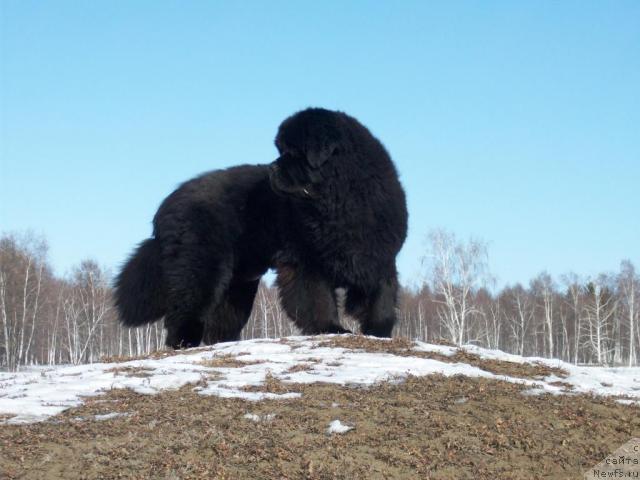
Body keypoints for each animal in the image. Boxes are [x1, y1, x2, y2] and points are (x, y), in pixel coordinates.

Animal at [115, 108, 408, 348]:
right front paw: (332, 329)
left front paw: (380, 332)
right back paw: (185, 341)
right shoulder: (307, 263)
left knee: (222, 317)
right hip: (201, 267)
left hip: (239, 281)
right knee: (187, 305)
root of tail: (168, 201)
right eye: (281, 152)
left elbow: (383, 299)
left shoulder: (379, 257)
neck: (343, 200)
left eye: (294, 153)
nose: (272, 168)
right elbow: (318, 300)